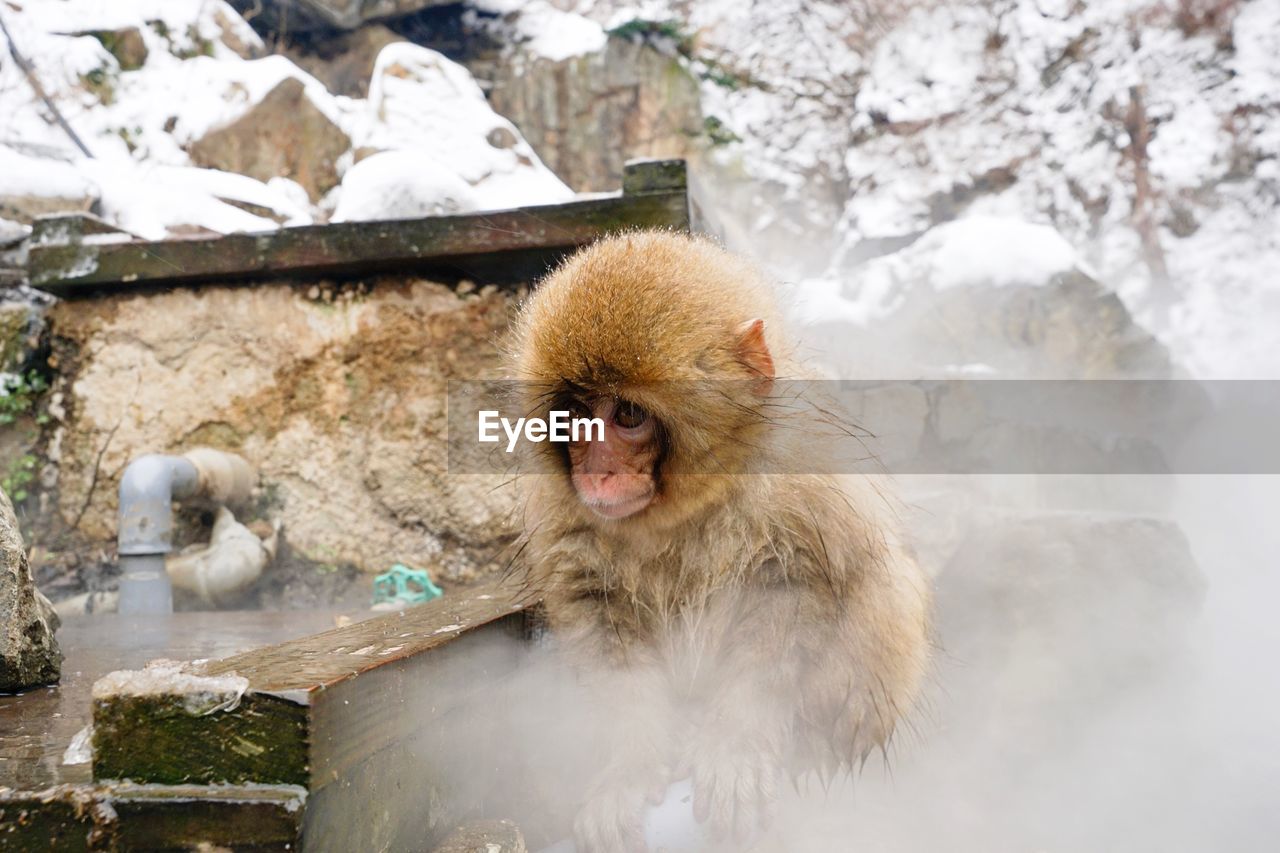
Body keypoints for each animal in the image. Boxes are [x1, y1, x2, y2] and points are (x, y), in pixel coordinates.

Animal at [506, 229, 931, 845]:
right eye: (577, 414)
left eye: (628, 413)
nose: (598, 473)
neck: (684, 509)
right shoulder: (566, 519)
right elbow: (603, 624)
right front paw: (630, 767)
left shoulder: (799, 485)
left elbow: (791, 599)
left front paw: (737, 745)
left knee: (885, 585)